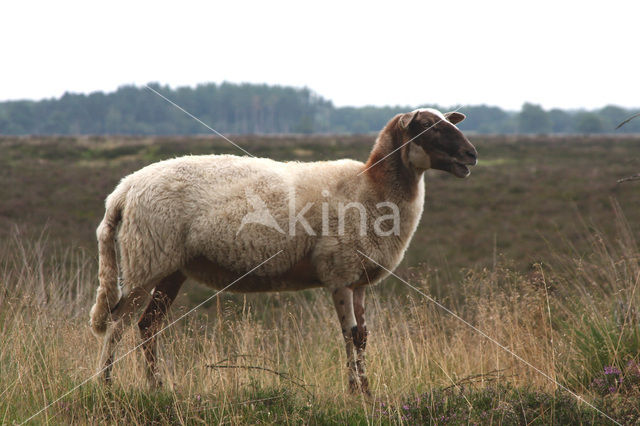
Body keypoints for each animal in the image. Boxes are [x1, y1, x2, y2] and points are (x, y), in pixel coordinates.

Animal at [92, 109, 478, 392]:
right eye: (427, 126)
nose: (471, 154)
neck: (370, 188)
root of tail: (123, 190)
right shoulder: (338, 271)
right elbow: (349, 334)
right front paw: (354, 391)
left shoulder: (358, 278)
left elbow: (363, 337)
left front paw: (367, 390)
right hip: (146, 259)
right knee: (118, 323)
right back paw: (106, 385)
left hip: (170, 268)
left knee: (147, 325)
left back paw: (157, 386)